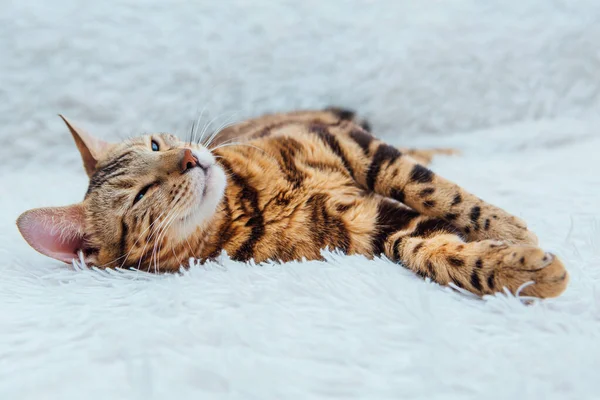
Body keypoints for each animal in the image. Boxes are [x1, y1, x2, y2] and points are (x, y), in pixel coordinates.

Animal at [14, 108, 568, 298]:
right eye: (142, 195)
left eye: (154, 144)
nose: (190, 157)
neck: (248, 201)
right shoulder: (375, 228)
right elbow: (436, 252)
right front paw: (520, 270)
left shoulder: (342, 142)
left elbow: (433, 188)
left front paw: (507, 229)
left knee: (421, 156)